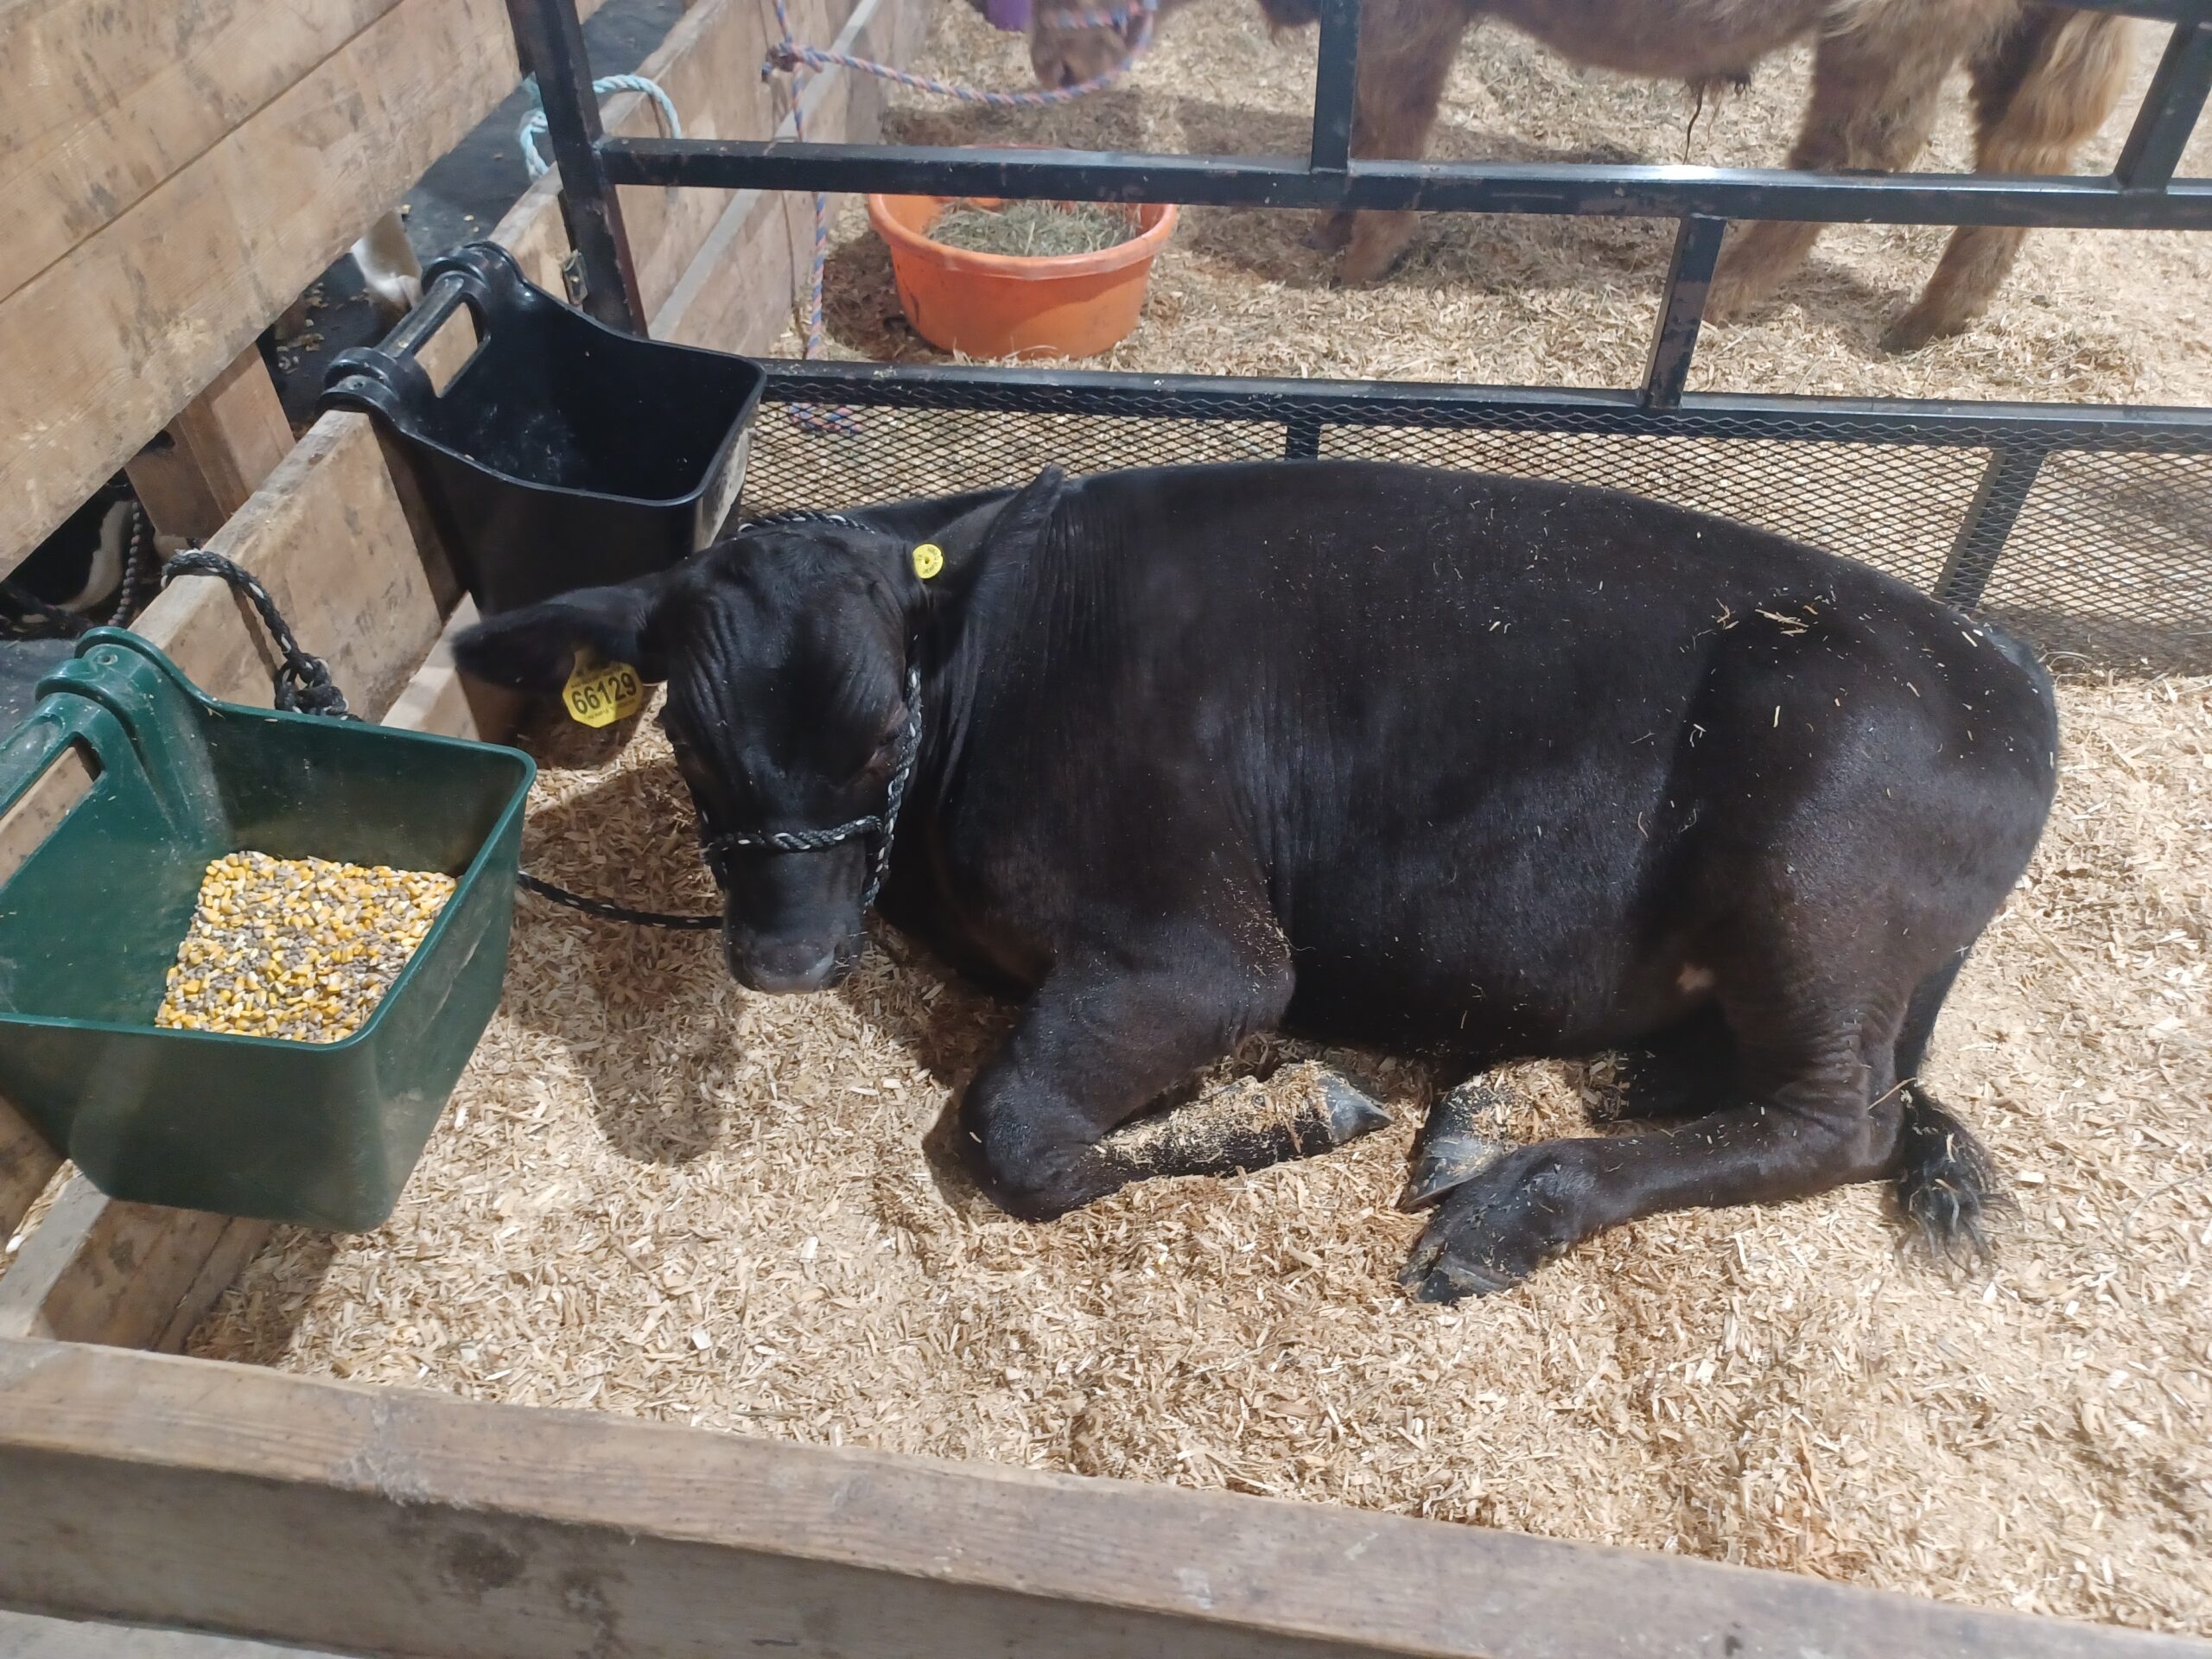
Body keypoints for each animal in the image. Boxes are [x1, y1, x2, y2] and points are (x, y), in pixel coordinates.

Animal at [455, 460, 2057, 1299]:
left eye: (883, 733)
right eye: (688, 734)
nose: (784, 961)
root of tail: (2008, 665)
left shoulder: (1208, 949)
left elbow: (1011, 1126)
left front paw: (1295, 1102)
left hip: (1815, 867)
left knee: (1841, 1118)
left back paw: (1511, 1207)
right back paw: (1507, 1104)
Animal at [1029, 0, 2136, 351]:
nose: (1046, 67)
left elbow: (1389, 126)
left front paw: (1353, 264)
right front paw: (1325, 234)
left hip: (1891, 32)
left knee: (1858, 153)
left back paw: (1723, 294)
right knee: (2023, 162)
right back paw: (1923, 328)